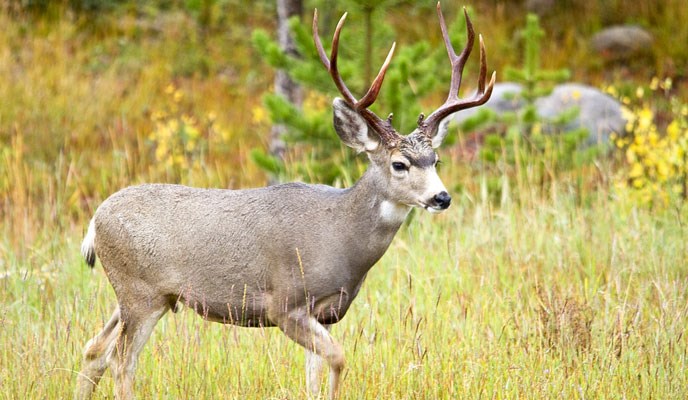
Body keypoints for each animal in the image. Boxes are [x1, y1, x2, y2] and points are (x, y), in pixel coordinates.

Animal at [75, 3, 494, 400]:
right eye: (399, 164)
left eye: (436, 160)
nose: (442, 197)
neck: (341, 236)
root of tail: (95, 222)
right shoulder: (285, 303)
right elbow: (339, 357)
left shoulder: (324, 312)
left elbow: (313, 375)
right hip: (140, 292)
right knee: (122, 362)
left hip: (137, 295)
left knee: (94, 350)